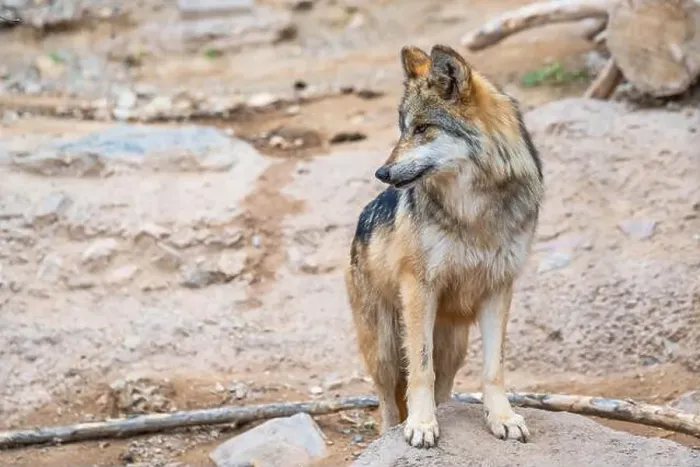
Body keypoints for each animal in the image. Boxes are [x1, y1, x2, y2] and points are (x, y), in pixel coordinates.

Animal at [344, 44, 544, 448]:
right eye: (403, 128)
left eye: (423, 128)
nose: (382, 173)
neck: (473, 210)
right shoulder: (419, 287)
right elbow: (421, 369)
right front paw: (421, 425)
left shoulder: (499, 288)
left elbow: (494, 369)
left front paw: (502, 418)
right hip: (385, 349)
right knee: (388, 403)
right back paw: (392, 431)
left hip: (453, 347)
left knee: (445, 387)